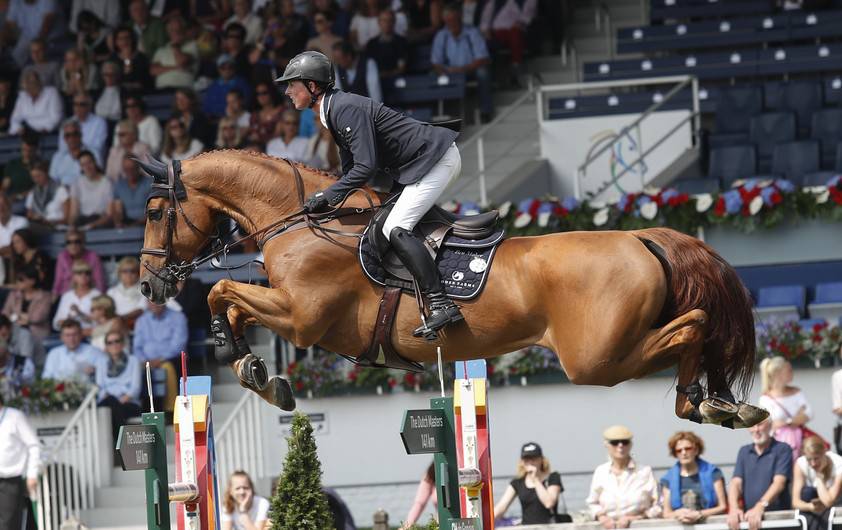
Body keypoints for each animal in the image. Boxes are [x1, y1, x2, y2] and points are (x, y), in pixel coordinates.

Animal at [136, 151, 768, 426]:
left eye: (152, 211)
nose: (147, 284)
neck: (301, 221)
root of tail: (641, 235)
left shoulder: (303, 317)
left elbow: (222, 294)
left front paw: (248, 366)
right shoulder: (291, 313)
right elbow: (232, 302)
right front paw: (258, 371)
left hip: (597, 358)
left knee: (695, 326)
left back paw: (700, 399)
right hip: (610, 350)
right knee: (697, 331)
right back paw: (717, 402)